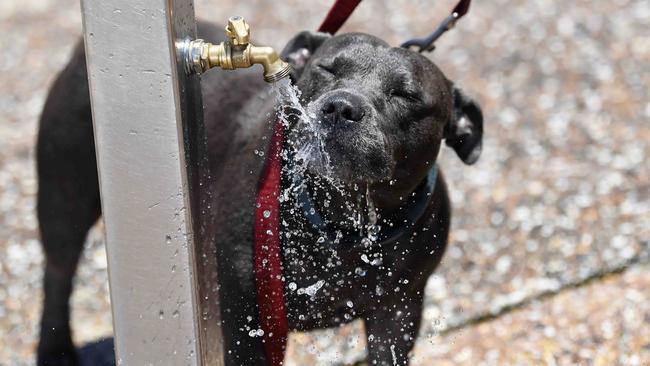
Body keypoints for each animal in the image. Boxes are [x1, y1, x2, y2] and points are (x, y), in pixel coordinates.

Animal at [35, 20, 480, 366]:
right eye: (327, 69)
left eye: (406, 95)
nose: (341, 107)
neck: (338, 222)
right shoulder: (246, 317)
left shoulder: (398, 311)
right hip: (64, 196)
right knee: (58, 274)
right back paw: (55, 350)